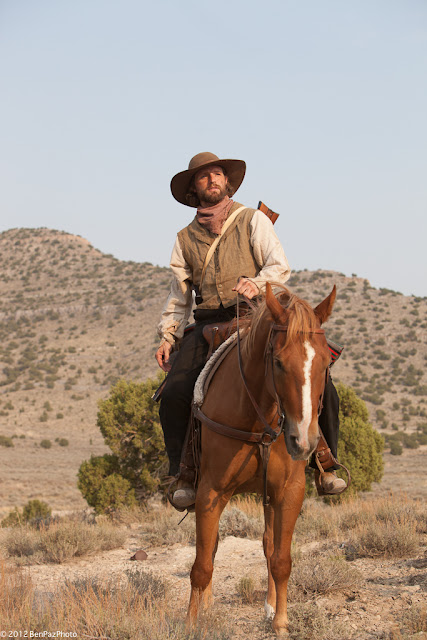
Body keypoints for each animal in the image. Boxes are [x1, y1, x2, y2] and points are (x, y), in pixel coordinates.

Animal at [187, 282, 336, 636]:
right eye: (278, 362)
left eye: (326, 363)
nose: (303, 441)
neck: (259, 416)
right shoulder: (210, 492)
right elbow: (202, 563)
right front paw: (190, 623)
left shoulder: (289, 491)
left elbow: (281, 559)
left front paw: (281, 622)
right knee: (211, 549)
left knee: (268, 545)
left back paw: (269, 607)